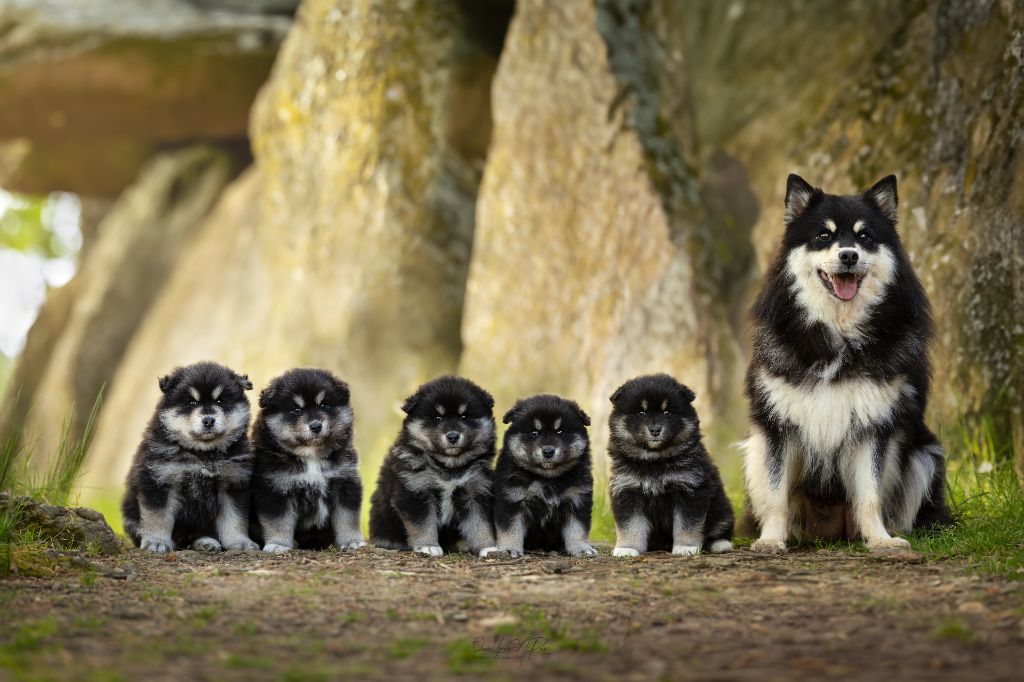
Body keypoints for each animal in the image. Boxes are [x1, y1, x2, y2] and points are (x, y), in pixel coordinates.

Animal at [121, 360, 258, 552]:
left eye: (220, 401)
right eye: (191, 402)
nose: (208, 420)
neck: (202, 453)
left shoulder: (233, 483)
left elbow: (235, 518)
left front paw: (240, 542)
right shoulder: (158, 480)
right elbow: (158, 517)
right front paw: (157, 542)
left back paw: (206, 542)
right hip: (131, 514)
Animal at [247, 366, 364, 552]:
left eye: (324, 405)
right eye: (296, 410)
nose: (316, 426)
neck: (311, 456)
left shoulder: (345, 481)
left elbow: (347, 517)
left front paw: (351, 540)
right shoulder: (275, 487)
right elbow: (278, 521)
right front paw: (278, 544)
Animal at [370, 374, 497, 557]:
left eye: (464, 417)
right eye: (438, 418)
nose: (453, 436)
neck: (448, 466)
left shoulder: (475, 491)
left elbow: (480, 523)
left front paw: (488, 547)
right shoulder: (416, 489)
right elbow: (422, 523)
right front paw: (428, 546)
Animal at [491, 393, 598, 557]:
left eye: (560, 432)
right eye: (534, 433)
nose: (548, 451)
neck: (547, 478)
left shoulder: (577, 499)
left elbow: (578, 528)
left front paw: (581, 548)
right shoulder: (511, 499)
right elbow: (510, 528)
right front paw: (509, 549)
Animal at [602, 374, 733, 557]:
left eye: (667, 411)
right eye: (641, 412)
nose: (655, 430)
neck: (655, 460)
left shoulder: (690, 490)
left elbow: (687, 524)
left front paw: (685, 547)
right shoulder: (627, 490)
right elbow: (630, 525)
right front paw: (627, 548)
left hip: (722, 509)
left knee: (720, 528)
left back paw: (721, 544)